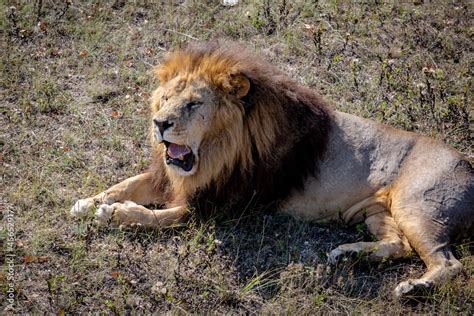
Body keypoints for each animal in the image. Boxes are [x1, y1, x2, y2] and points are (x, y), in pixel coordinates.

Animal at [71, 40, 474, 298]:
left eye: (194, 104)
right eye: (166, 98)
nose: (160, 123)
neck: (218, 149)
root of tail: (469, 166)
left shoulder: (221, 205)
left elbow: (159, 217)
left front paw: (116, 214)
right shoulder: (175, 178)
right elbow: (127, 183)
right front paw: (88, 202)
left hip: (417, 207)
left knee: (449, 264)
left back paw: (414, 287)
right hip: (377, 211)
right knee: (398, 244)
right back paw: (348, 254)